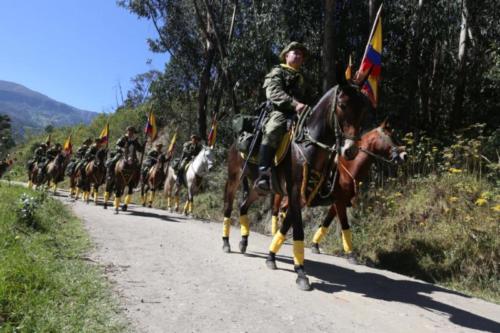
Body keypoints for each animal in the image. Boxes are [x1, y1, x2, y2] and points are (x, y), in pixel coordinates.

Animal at [221, 83, 370, 290]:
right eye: (342, 105)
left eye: (363, 109)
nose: (350, 150)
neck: (308, 145)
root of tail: (238, 140)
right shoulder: (294, 192)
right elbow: (298, 230)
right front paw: (301, 273)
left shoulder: (303, 196)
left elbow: (286, 227)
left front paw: (271, 257)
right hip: (234, 178)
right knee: (228, 207)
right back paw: (226, 242)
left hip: (259, 189)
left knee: (243, 206)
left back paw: (243, 241)